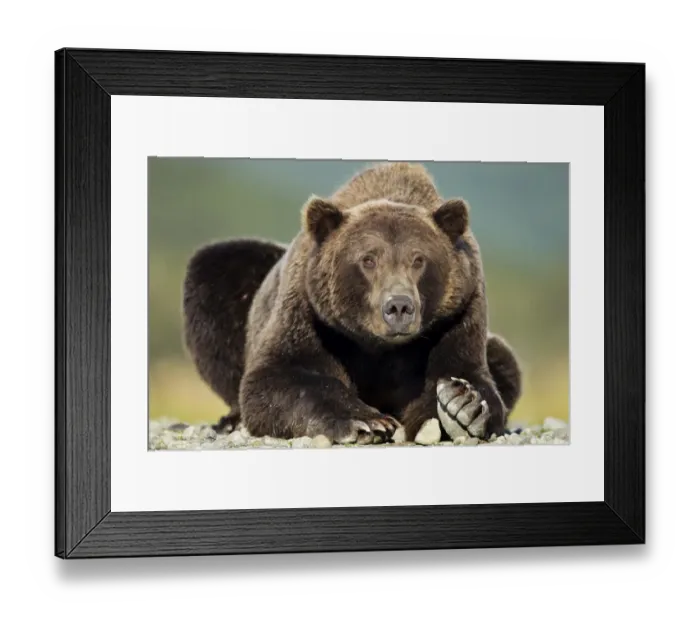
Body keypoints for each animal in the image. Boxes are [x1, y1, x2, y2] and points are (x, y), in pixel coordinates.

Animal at [183, 162, 522, 443]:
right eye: (368, 259)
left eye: (419, 260)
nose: (399, 307)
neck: (378, 346)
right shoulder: (309, 313)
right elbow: (279, 376)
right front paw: (366, 422)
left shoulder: (457, 314)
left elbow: (463, 370)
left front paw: (462, 405)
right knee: (215, 270)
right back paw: (230, 420)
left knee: (505, 359)